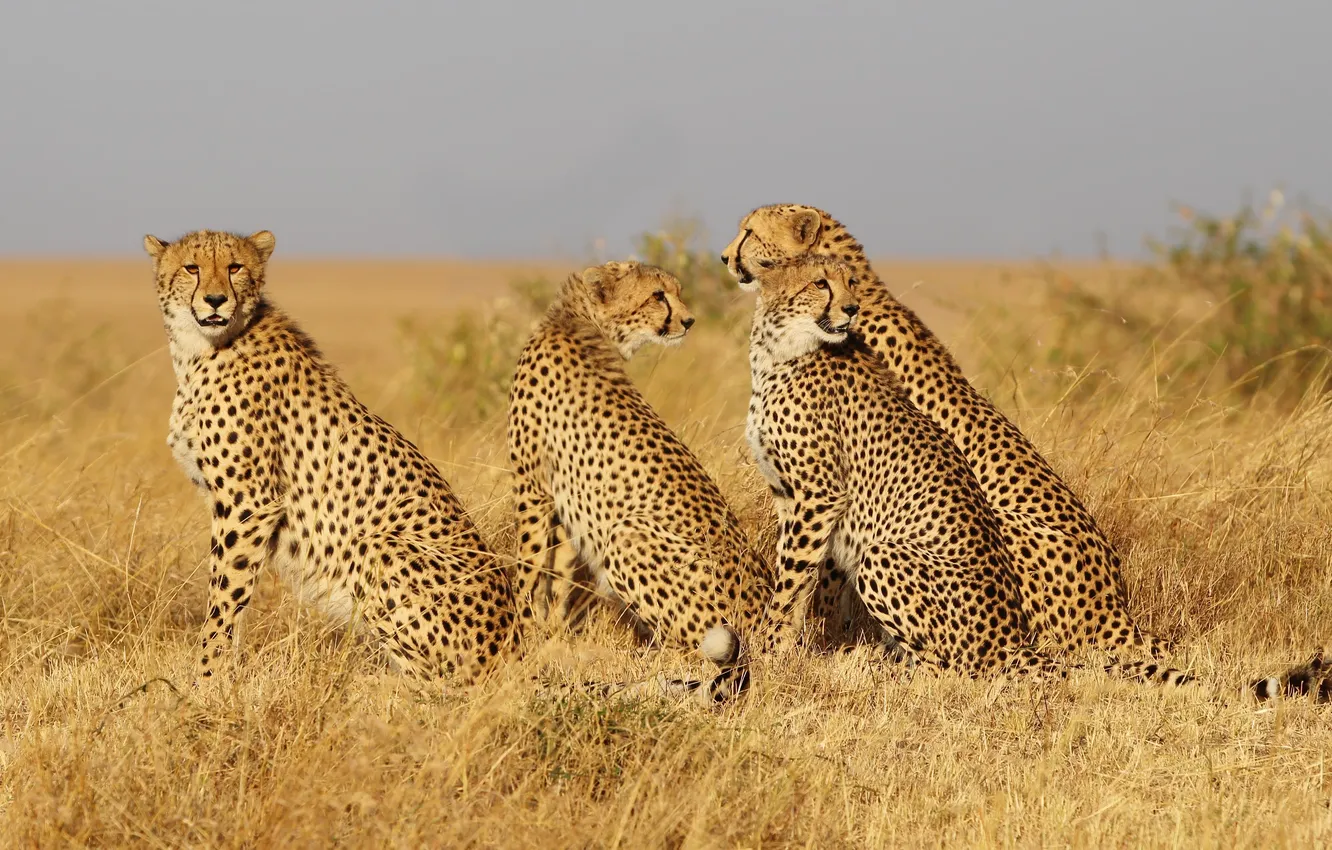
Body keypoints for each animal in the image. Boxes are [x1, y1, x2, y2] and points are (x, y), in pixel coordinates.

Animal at [506, 260, 772, 701]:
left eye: (676, 292)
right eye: (657, 296)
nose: (688, 320)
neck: (579, 321)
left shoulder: (532, 487)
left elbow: (527, 568)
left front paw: (522, 630)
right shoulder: (564, 499)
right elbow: (558, 575)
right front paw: (552, 636)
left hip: (626, 536)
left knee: (692, 653)